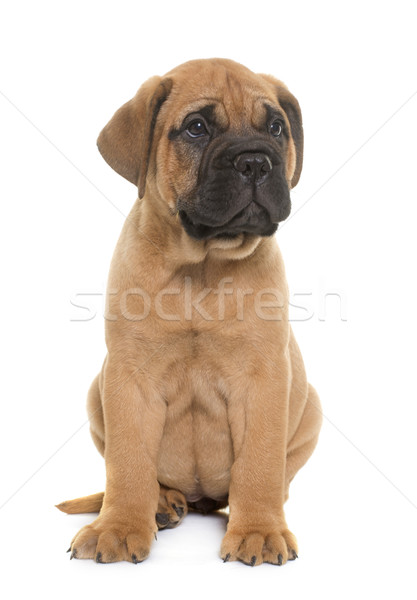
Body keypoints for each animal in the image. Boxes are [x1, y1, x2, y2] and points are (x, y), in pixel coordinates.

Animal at [56, 57, 322, 568]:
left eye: (276, 127)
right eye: (197, 128)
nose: (256, 161)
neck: (201, 267)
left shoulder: (264, 378)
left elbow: (259, 463)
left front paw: (258, 530)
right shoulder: (127, 377)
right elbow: (127, 463)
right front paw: (120, 526)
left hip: (311, 407)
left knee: (271, 480)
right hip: (96, 391)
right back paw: (162, 503)